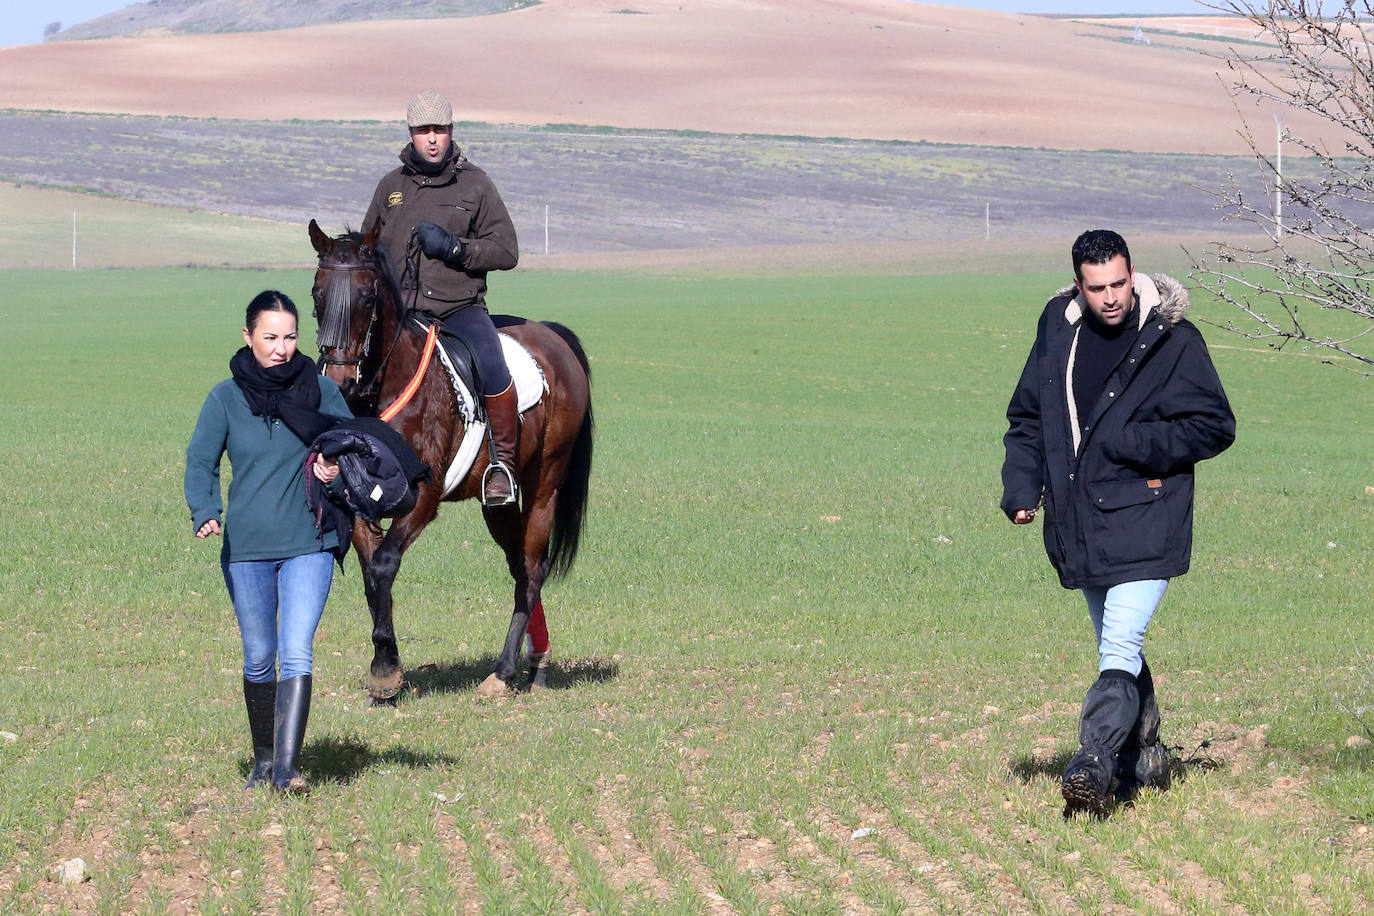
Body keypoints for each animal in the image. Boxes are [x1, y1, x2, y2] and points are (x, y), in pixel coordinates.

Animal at [309, 219, 593, 703]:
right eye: (316, 294)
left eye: (366, 296)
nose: (340, 381)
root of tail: (554, 338)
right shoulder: (362, 500)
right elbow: (371, 575)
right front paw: (385, 666)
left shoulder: (423, 499)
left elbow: (384, 565)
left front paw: (385, 669)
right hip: (496, 504)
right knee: (519, 566)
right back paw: (536, 662)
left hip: (544, 486)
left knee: (533, 569)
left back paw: (504, 671)